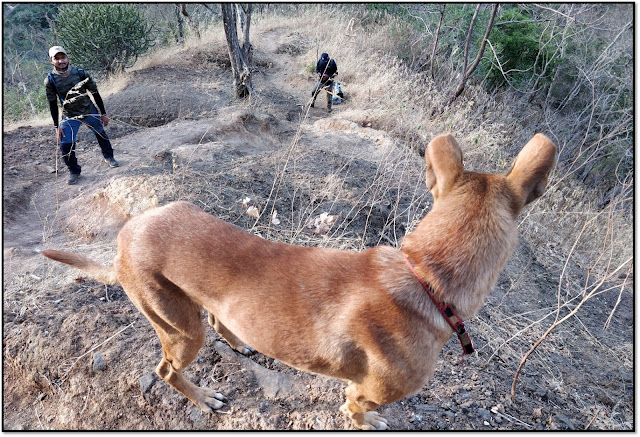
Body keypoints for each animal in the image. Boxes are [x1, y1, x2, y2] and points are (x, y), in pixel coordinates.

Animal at [43, 132, 556, 426]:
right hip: (179, 329)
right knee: (167, 370)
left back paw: (240, 342)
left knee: (219, 318)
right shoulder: (363, 393)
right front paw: (370, 425)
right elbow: (357, 413)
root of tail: (123, 239)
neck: (426, 275)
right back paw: (203, 398)